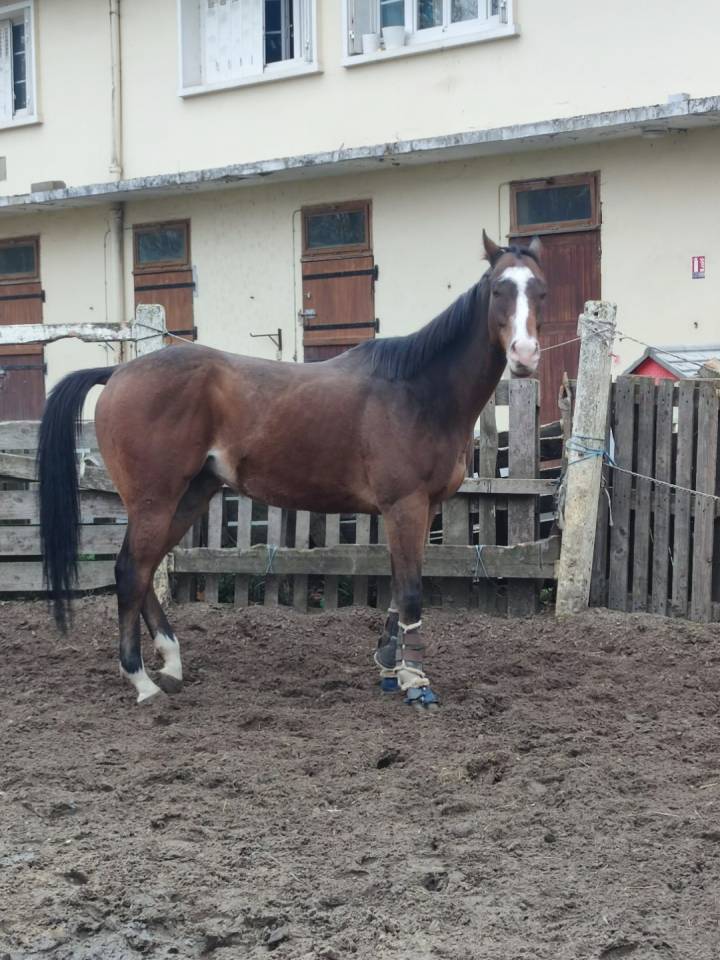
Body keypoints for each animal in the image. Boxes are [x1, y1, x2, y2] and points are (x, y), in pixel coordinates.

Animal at [37, 230, 545, 710]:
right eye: (498, 288)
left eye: (539, 288)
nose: (525, 354)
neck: (417, 389)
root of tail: (118, 373)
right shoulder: (405, 506)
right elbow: (411, 591)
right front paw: (415, 682)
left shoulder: (424, 508)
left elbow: (398, 589)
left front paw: (388, 666)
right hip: (154, 500)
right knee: (129, 571)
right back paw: (141, 680)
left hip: (189, 496)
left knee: (143, 570)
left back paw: (172, 663)